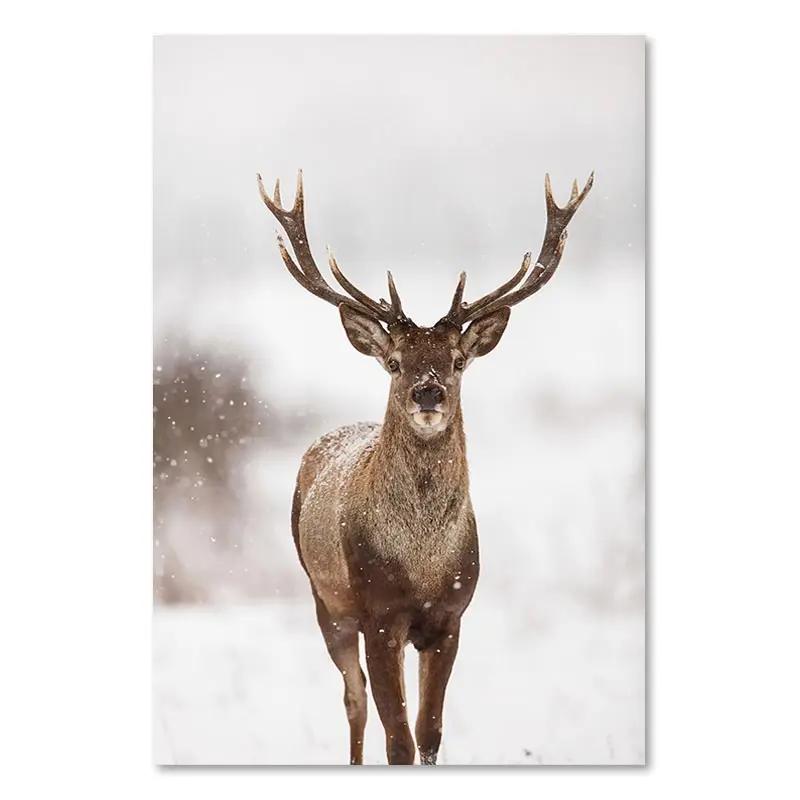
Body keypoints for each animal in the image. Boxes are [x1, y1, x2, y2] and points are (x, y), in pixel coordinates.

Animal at [257, 168, 593, 765]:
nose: (428, 392)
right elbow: (399, 738)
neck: (422, 564)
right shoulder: (378, 614)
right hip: (325, 599)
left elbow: (429, 732)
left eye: (457, 360)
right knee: (354, 699)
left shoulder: (450, 616)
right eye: (394, 362)